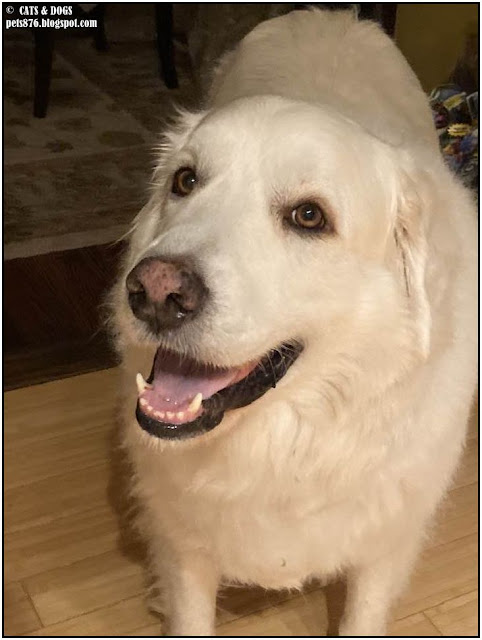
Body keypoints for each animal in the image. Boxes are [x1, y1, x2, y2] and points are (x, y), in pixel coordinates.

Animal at [112, 8, 478, 636]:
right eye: (185, 181)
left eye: (309, 216)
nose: (155, 291)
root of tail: (329, 13)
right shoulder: (183, 545)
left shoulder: (386, 547)